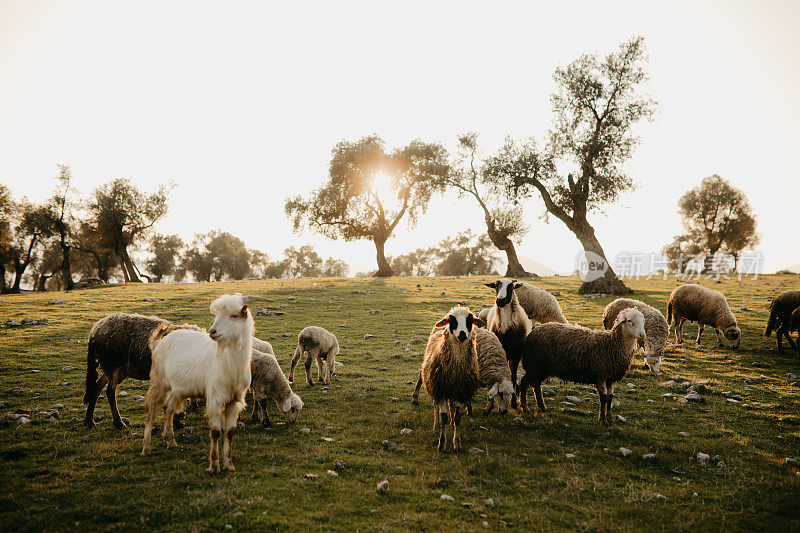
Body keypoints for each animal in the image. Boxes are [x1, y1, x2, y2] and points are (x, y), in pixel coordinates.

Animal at [142, 294, 270, 472]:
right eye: (217, 315)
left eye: (234, 315)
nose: (212, 332)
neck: (230, 364)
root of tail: (159, 341)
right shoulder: (215, 398)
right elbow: (215, 432)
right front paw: (214, 465)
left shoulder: (234, 400)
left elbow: (230, 432)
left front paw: (228, 464)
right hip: (158, 380)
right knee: (151, 411)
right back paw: (146, 448)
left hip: (178, 388)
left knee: (168, 409)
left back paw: (170, 441)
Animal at [418, 306, 482, 450]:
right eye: (452, 320)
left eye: (469, 320)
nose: (462, 334)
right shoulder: (440, 391)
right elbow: (444, 417)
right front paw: (442, 443)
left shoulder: (462, 393)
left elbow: (458, 417)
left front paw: (457, 443)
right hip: (434, 387)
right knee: (436, 407)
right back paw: (436, 425)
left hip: (453, 393)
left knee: (452, 407)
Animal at [484, 276, 536, 406]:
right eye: (496, 286)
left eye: (511, 287)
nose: (500, 301)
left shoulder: (517, 355)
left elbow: (513, 375)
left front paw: (513, 401)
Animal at [520, 308, 648, 424]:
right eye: (630, 321)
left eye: (643, 321)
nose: (642, 335)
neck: (612, 344)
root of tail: (534, 331)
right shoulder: (600, 375)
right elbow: (603, 398)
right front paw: (603, 420)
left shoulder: (611, 378)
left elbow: (610, 398)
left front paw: (610, 419)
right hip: (534, 365)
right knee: (524, 382)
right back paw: (525, 407)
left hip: (542, 368)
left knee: (536, 385)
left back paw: (542, 407)